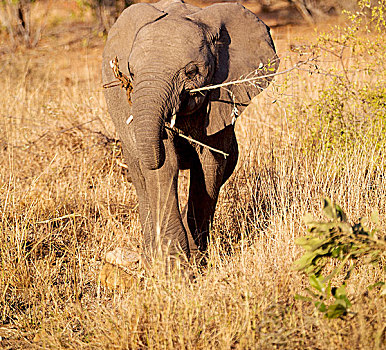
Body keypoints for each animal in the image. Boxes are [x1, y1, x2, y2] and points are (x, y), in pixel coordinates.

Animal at [101, 0, 278, 266]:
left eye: (192, 71)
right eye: (130, 72)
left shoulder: (219, 99)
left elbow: (210, 164)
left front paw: (195, 259)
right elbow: (165, 166)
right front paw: (173, 266)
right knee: (140, 176)